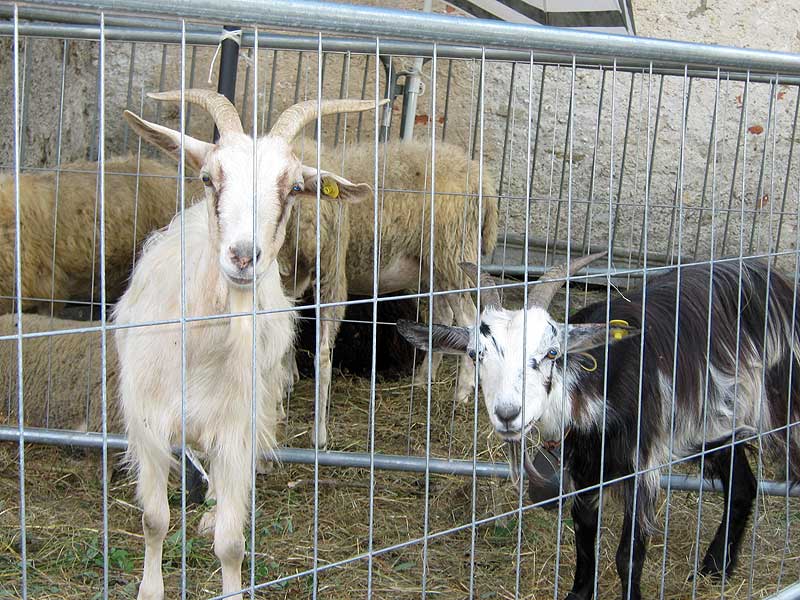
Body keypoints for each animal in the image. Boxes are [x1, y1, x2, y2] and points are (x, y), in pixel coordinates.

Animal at [113, 89, 384, 600]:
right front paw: (150, 588)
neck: (199, 349)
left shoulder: (237, 430)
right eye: (207, 177)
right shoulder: (147, 421)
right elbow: (154, 519)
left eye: (295, 187)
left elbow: (231, 544)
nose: (242, 256)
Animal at [398, 254, 800, 600]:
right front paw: (578, 593)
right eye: (475, 354)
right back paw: (715, 569)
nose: (508, 413)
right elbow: (584, 531)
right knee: (743, 486)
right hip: (715, 423)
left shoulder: (641, 461)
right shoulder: (584, 464)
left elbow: (628, 555)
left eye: (552, 353)